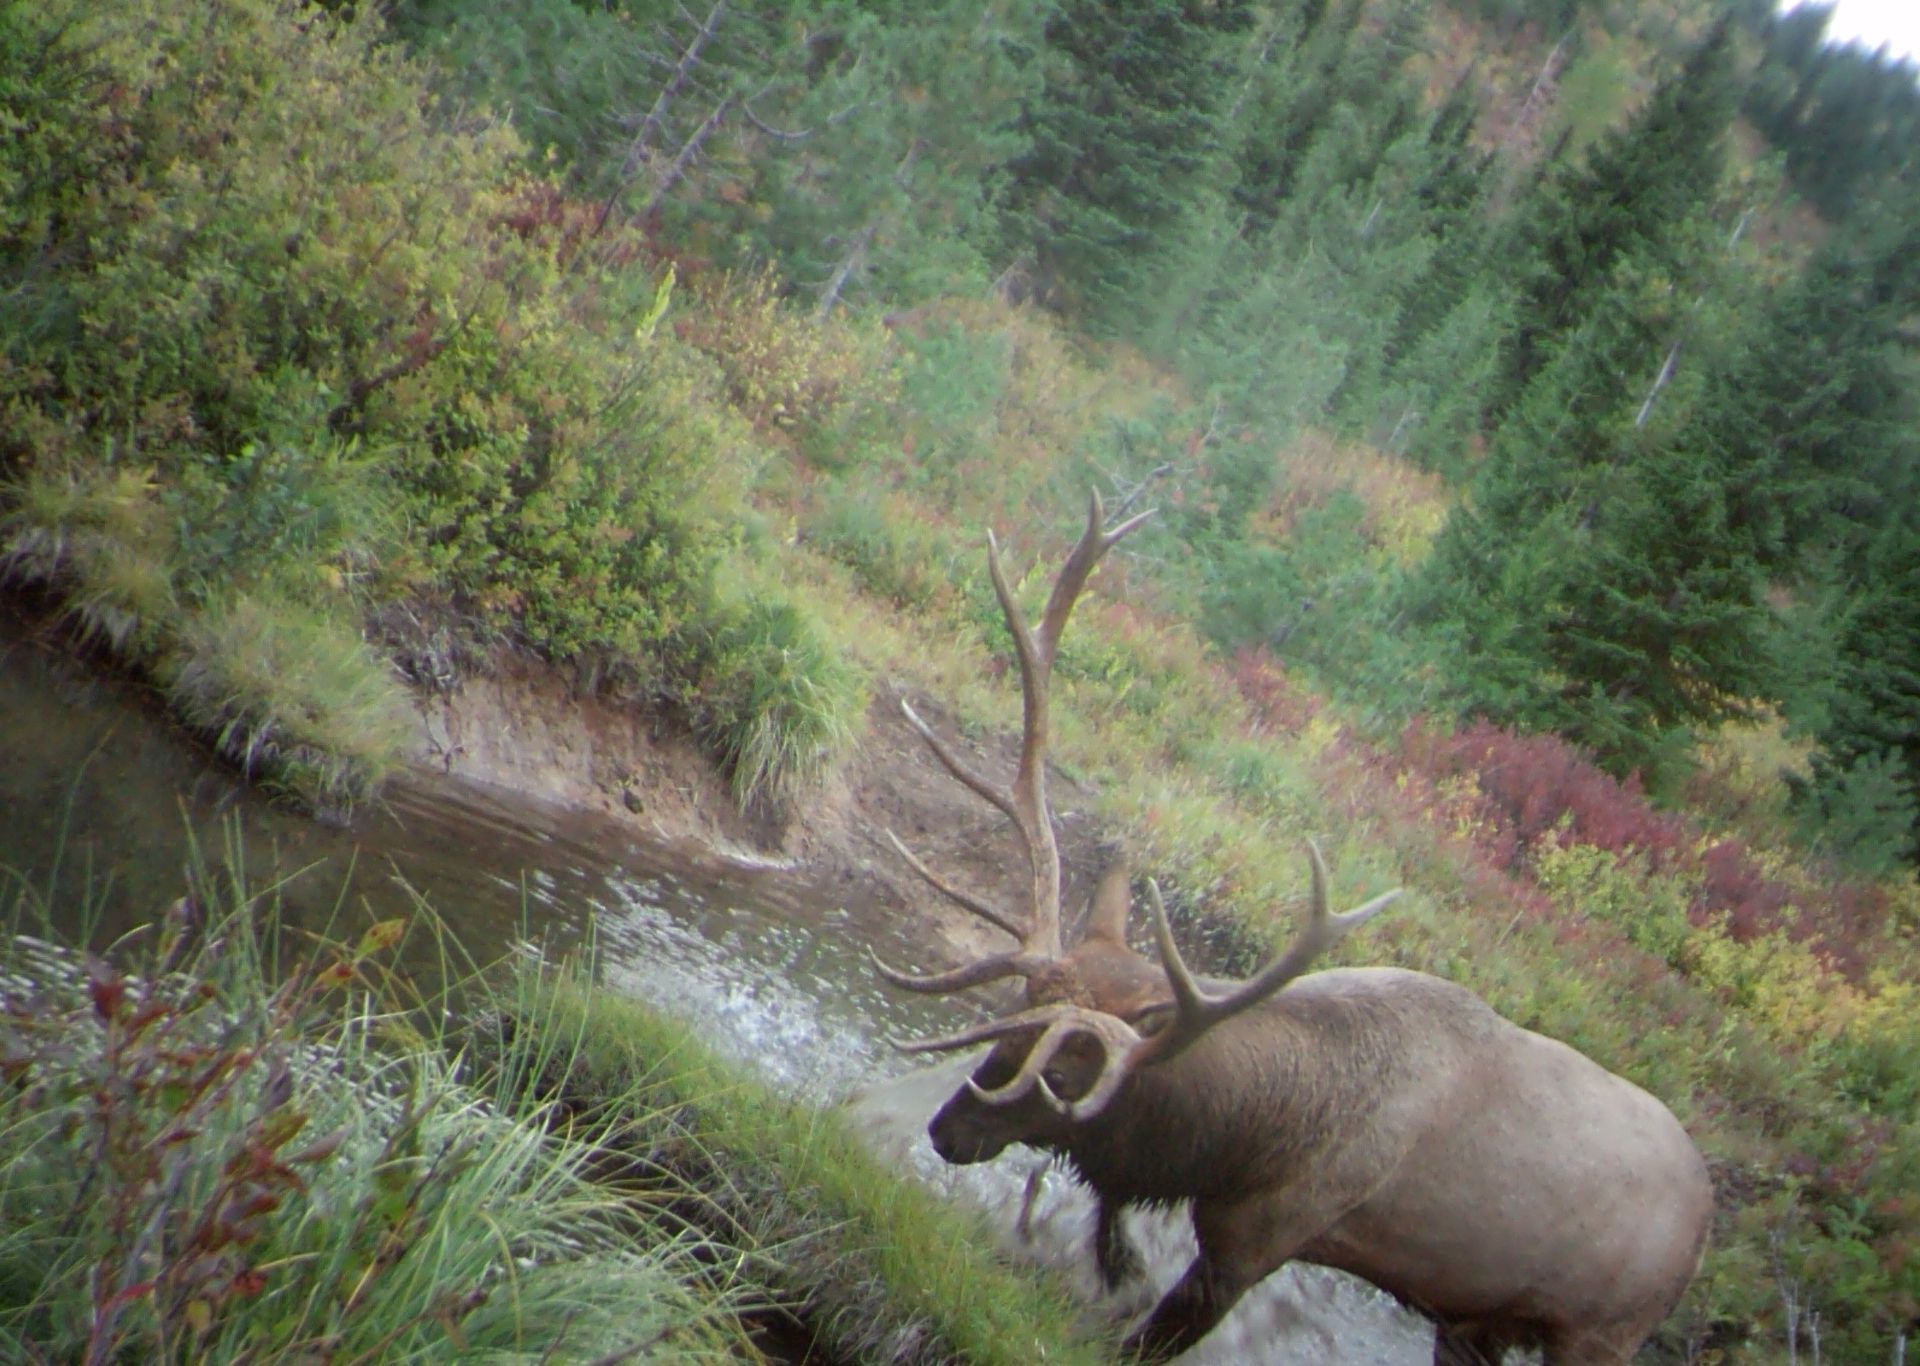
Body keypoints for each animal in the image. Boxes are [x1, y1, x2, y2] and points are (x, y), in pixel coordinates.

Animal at [871, 493, 1715, 1364]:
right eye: (1009, 1019)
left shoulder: (1262, 1239)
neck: (1240, 1138)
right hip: (1474, 1321)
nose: (949, 1129)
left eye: (1065, 1075)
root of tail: (1705, 1223)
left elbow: (1152, 1335)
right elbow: (1110, 1230)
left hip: (1600, 1333)